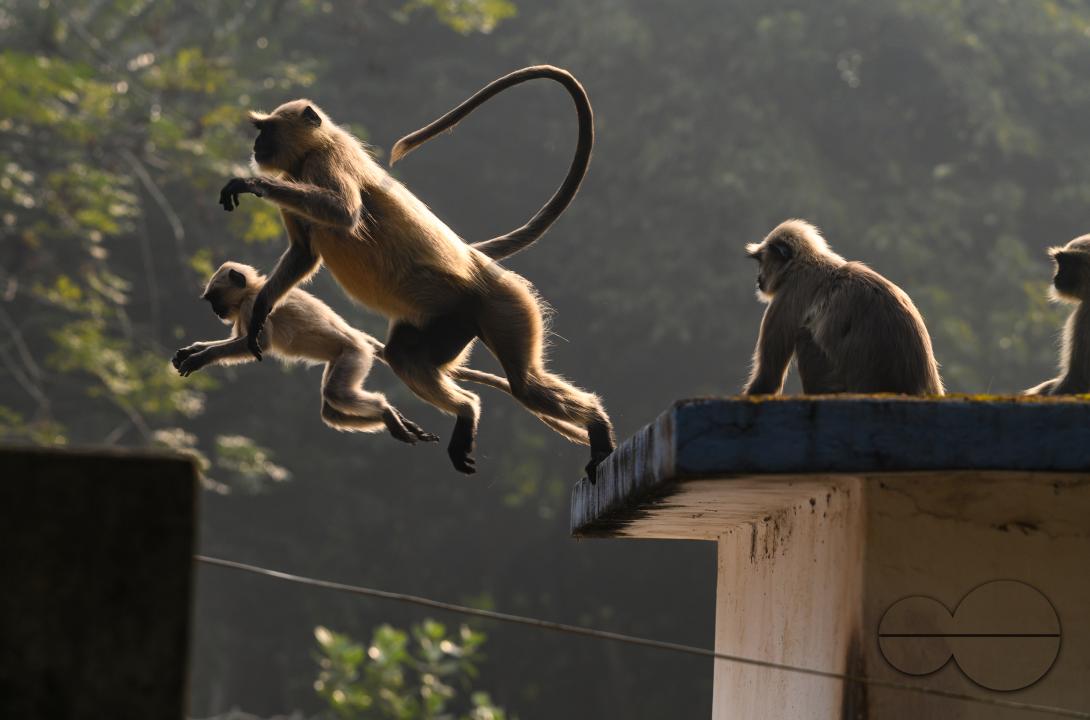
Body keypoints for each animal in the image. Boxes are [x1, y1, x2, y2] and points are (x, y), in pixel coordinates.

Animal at [173, 262, 592, 445]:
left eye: (214, 299)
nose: (216, 311)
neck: (252, 291)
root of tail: (358, 337)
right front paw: (195, 350)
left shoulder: (253, 307)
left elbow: (256, 345)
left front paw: (198, 358)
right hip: (348, 357)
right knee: (332, 408)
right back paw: (394, 421)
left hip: (352, 354)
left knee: (335, 395)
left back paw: (389, 414)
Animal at [215, 66, 614, 479]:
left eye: (268, 129)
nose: (256, 144)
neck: (314, 148)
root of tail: (477, 261)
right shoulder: (295, 177)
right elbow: (303, 255)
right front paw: (260, 312)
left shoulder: (325, 160)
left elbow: (344, 213)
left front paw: (251, 183)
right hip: (448, 324)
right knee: (404, 356)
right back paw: (467, 409)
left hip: (505, 304)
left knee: (525, 383)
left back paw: (594, 427)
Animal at [743, 219, 944, 396]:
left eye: (761, 262)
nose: (758, 279)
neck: (805, 263)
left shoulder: (789, 293)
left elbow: (768, 379)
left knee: (804, 337)